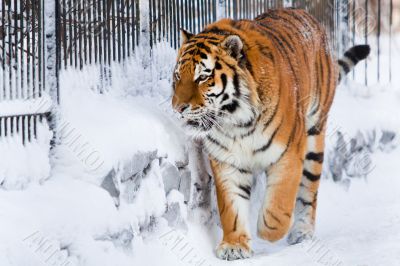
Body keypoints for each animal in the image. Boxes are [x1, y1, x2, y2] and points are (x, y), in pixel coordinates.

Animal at [170, 7, 370, 260]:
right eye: (178, 76)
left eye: (203, 77)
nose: (178, 108)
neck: (235, 123)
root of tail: (306, 15)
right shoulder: (227, 162)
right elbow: (231, 208)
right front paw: (234, 245)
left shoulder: (289, 152)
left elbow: (280, 201)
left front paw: (268, 231)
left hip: (315, 134)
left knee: (309, 191)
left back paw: (302, 232)